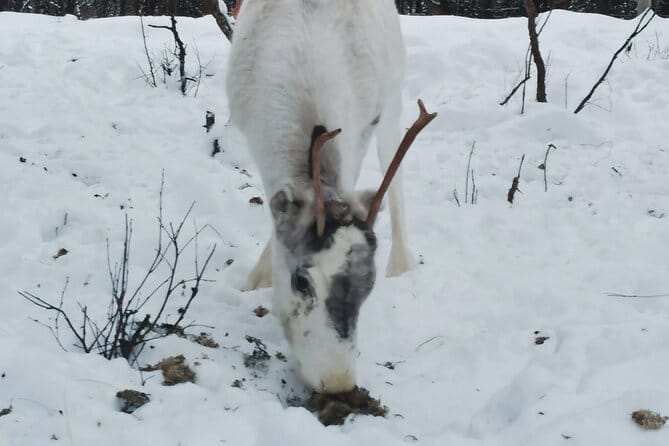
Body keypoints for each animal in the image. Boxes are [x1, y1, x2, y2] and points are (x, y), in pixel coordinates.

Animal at [226, 0, 436, 394]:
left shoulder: (363, 130)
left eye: (368, 287)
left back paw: (402, 263)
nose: (338, 382)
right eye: (301, 281)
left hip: (393, 102)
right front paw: (256, 280)